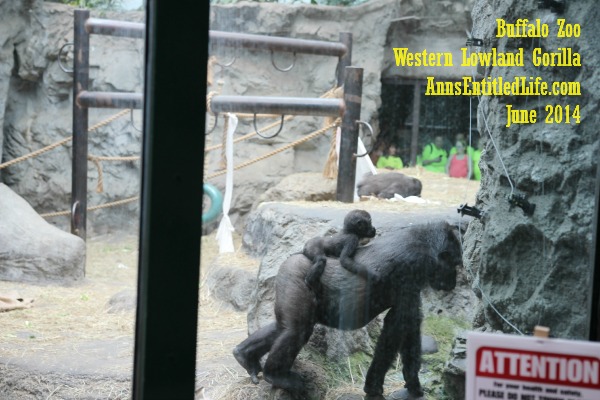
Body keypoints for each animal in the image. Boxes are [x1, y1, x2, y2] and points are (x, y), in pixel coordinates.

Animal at [232, 220, 462, 398]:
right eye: (456, 264)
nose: (455, 281)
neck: (426, 245)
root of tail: (295, 255)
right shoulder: (411, 268)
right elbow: (396, 328)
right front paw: (374, 388)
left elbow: (410, 327)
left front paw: (413, 383)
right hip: (297, 274)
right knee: (296, 330)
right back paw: (275, 375)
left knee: (283, 327)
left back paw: (245, 355)